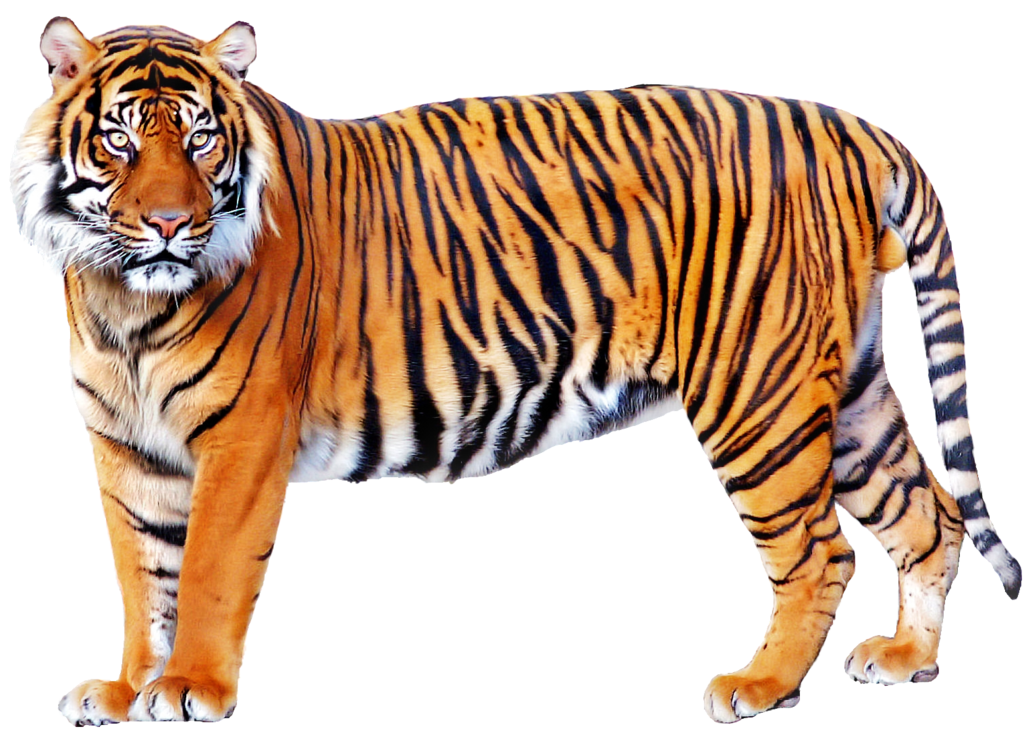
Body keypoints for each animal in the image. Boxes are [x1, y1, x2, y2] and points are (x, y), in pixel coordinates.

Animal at [11, 15, 1021, 727]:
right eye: (120, 141)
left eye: (201, 141)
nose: (171, 225)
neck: (124, 302)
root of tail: (853, 125)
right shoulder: (126, 448)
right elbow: (143, 575)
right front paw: (128, 687)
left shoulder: (243, 438)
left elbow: (208, 570)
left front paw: (189, 687)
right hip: (846, 392)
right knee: (926, 515)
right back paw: (906, 659)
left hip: (757, 396)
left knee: (821, 552)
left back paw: (761, 685)